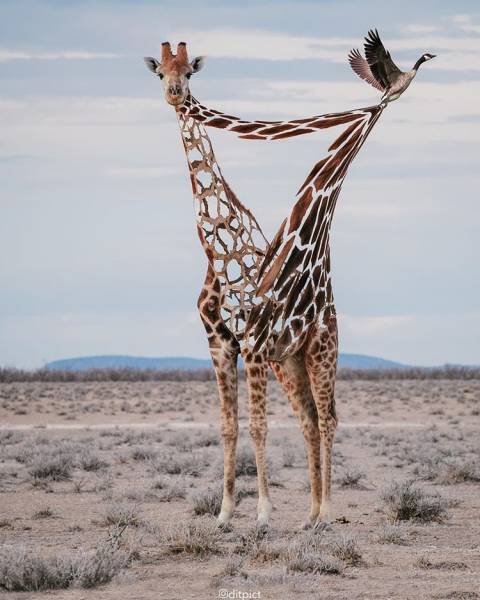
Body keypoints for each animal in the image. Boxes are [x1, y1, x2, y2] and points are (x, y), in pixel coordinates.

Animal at [143, 43, 386, 528]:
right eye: (160, 72)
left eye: (189, 73)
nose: (175, 94)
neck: (218, 251)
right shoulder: (221, 345)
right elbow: (229, 426)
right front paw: (223, 513)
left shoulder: (252, 346)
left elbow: (259, 425)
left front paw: (262, 513)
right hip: (288, 362)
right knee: (309, 419)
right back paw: (309, 515)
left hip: (321, 350)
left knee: (329, 418)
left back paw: (327, 511)